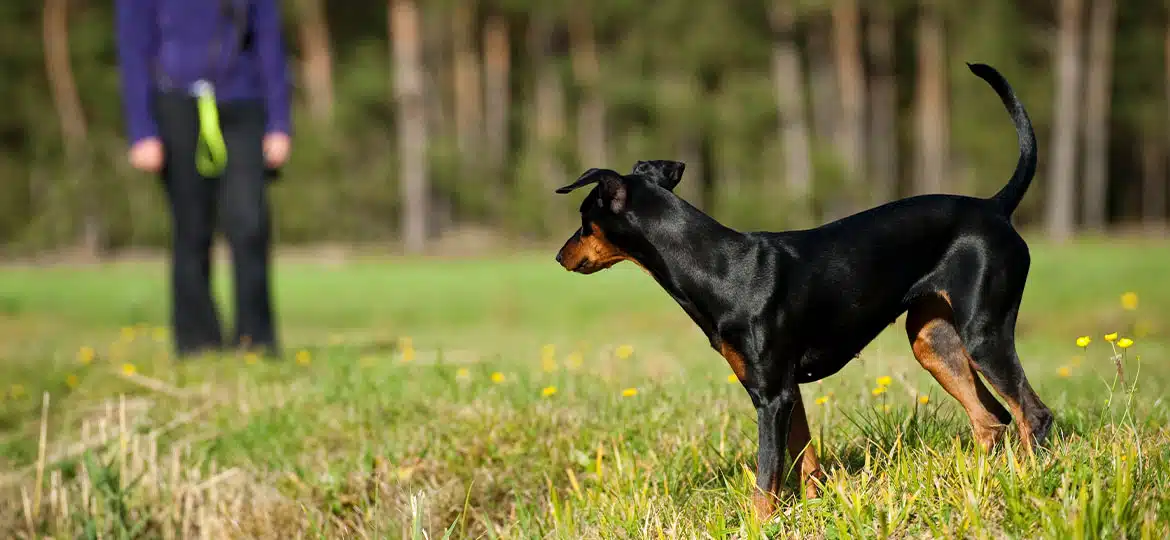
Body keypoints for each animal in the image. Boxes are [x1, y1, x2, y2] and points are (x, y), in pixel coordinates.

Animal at [552, 63, 1057, 514]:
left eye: (583, 220)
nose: (560, 256)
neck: (719, 267)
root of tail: (995, 208)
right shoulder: (787, 392)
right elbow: (806, 463)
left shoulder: (771, 395)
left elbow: (765, 481)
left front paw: (758, 524)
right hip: (934, 342)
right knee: (991, 421)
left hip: (983, 335)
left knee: (1032, 415)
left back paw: (1027, 485)